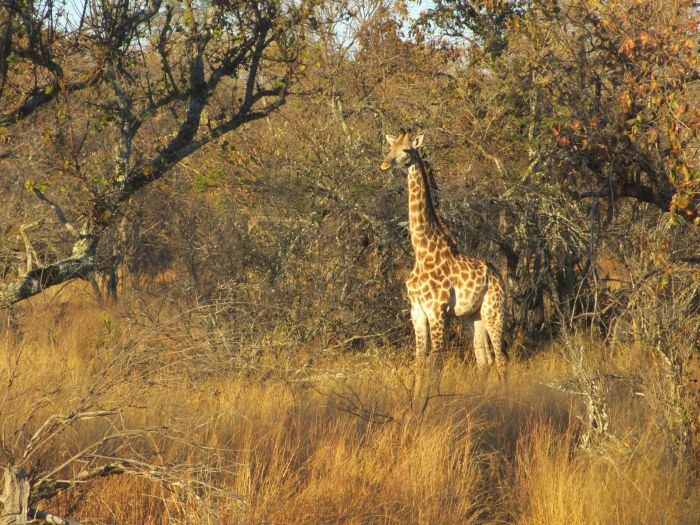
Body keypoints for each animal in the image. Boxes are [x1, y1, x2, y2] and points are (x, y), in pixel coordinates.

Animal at [380, 131, 506, 392]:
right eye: (390, 146)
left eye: (406, 150)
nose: (385, 164)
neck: (422, 252)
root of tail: (498, 275)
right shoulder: (417, 310)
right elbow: (420, 361)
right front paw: (416, 401)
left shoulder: (437, 310)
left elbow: (436, 362)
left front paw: (432, 400)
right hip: (473, 316)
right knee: (484, 360)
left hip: (495, 310)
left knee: (501, 360)